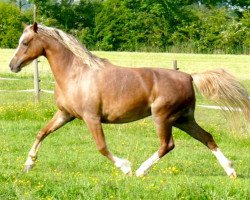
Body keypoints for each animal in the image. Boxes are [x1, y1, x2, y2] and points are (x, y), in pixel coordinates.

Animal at [8, 23, 249, 178]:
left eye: (26, 42)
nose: (12, 65)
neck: (76, 74)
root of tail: (190, 76)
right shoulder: (65, 114)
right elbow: (42, 132)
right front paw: (28, 164)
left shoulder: (91, 117)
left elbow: (102, 147)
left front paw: (125, 167)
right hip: (184, 119)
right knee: (207, 138)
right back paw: (231, 171)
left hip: (163, 117)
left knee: (167, 145)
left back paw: (141, 171)